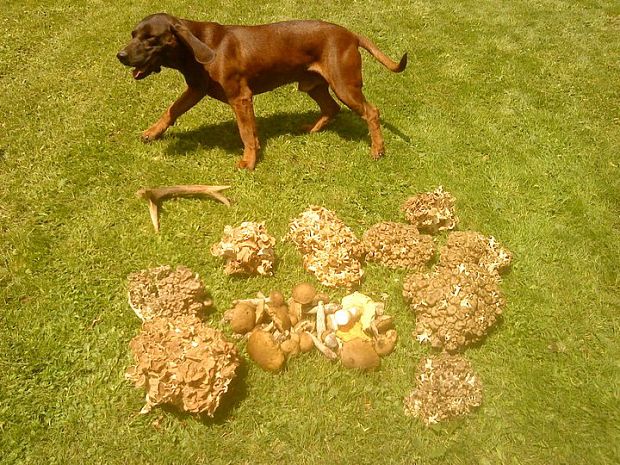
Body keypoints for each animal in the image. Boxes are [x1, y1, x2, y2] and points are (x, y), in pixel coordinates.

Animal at [117, 12, 406, 169]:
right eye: (132, 35)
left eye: (150, 39)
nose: (120, 55)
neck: (197, 46)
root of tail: (351, 34)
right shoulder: (196, 89)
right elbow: (171, 110)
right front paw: (152, 132)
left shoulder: (240, 97)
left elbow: (245, 133)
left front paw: (249, 161)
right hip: (313, 84)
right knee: (331, 108)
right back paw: (312, 129)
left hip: (344, 85)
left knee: (371, 111)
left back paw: (378, 150)